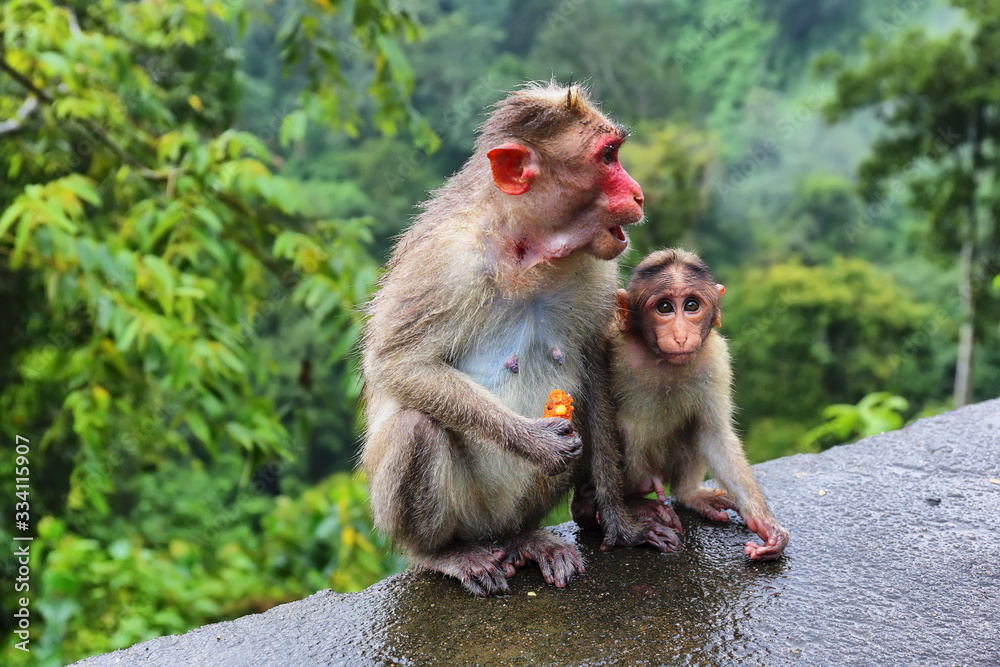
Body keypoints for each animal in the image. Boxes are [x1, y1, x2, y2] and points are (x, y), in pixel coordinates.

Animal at [360, 82, 677, 597]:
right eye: (608, 157)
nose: (638, 193)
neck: (525, 250)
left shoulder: (597, 271)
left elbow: (594, 373)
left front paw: (621, 520)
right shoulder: (445, 264)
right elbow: (397, 365)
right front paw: (536, 441)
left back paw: (524, 539)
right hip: (456, 514)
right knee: (416, 426)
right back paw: (442, 553)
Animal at [576, 248, 789, 561]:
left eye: (691, 305)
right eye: (664, 307)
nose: (680, 335)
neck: (662, 360)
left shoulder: (715, 358)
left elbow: (713, 433)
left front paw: (766, 525)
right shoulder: (608, 343)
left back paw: (689, 495)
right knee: (629, 430)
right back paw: (632, 502)